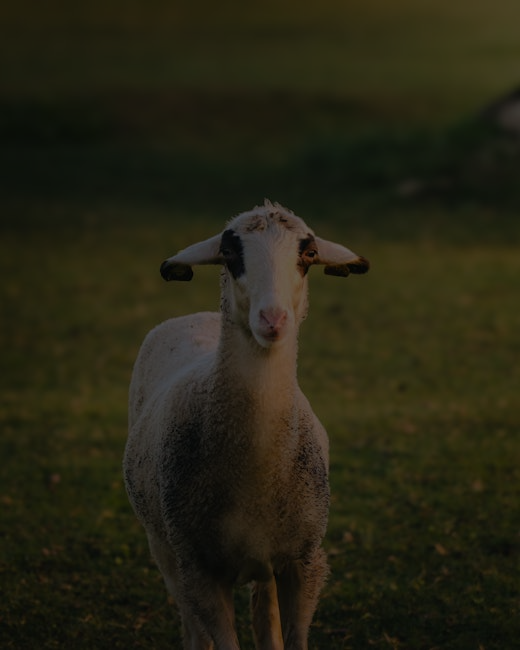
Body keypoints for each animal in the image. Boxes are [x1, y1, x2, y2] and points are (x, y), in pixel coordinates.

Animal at [123, 200, 369, 650]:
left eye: (308, 254)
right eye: (229, 253)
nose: (273, 319)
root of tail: (195, 315)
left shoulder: (304, 561)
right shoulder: (199, 569)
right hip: (165, 550)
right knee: (193, 629)